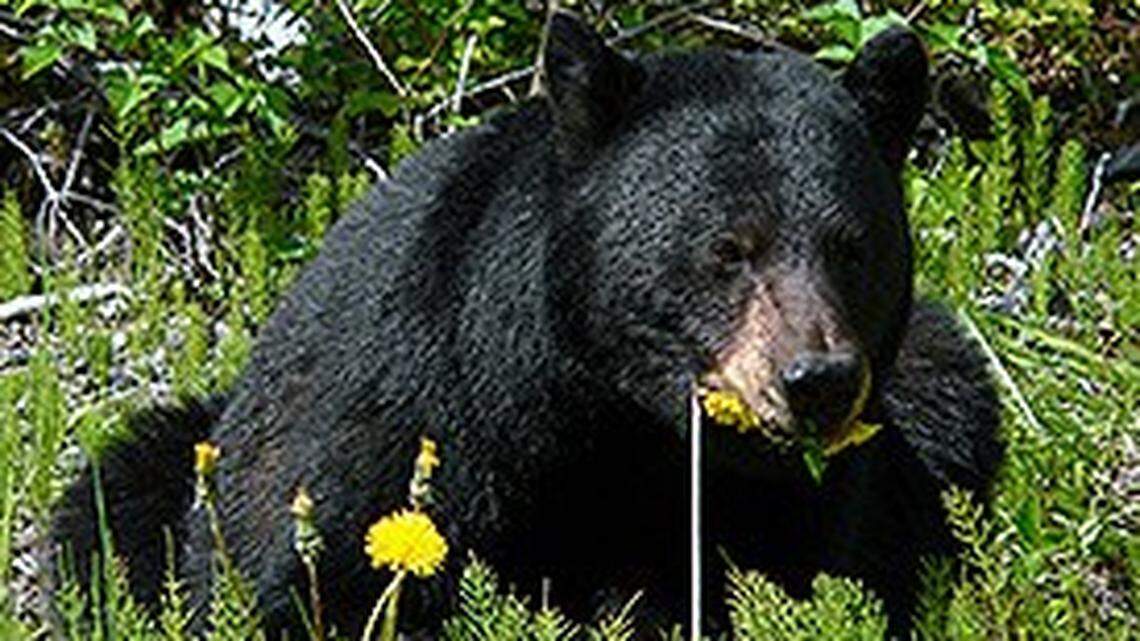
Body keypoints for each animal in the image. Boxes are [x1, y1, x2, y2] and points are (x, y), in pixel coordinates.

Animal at [53, 13, 1002, 639]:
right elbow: (317, 575)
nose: (817, 381)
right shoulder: (405, 410)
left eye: (852, 246)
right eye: (729, 248)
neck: (602, 414)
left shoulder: (789, 499)